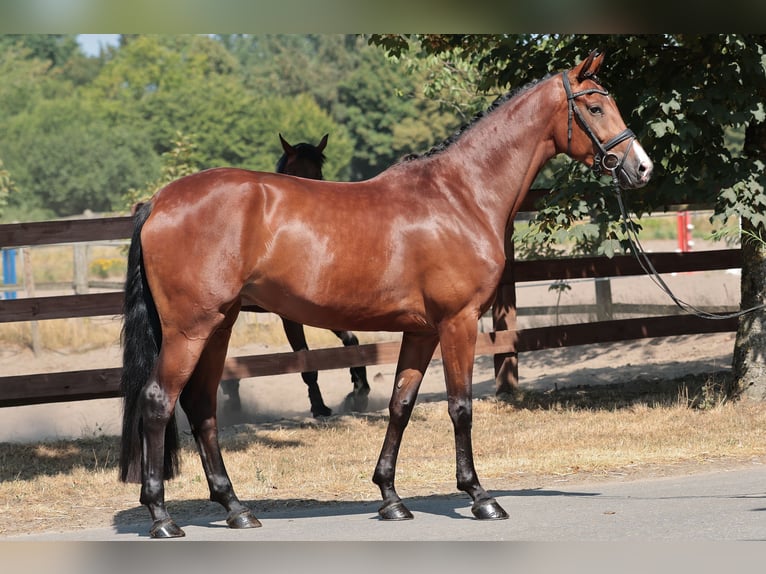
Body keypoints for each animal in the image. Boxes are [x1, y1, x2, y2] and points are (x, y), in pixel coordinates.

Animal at [220, 134, 370, 418]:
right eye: (291, 174)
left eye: (318, 175)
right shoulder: (289, 317)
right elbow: (305, 360)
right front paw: (319, 406)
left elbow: (351, 340)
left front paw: (359, 390)